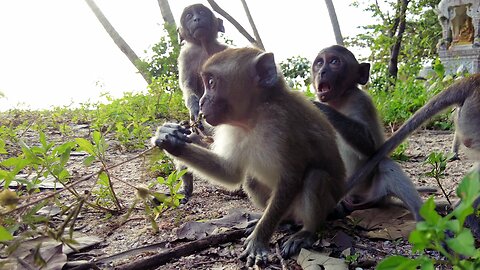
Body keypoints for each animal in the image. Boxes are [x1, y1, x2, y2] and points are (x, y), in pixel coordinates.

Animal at [151, 47, 344, 266]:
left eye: (211, 83)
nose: (200, 102)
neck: (254, 117)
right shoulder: (234, 130)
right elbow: (230, 173)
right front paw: (171, 139)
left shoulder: (284, 125)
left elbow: (291, 179)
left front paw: (259, 240)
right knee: (251, 179)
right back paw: (283, 221)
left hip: (327, 203)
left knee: (315, 177)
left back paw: (306, 232)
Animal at [176, 3, 229, 199]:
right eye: (189, 16)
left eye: (201, 12)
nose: (197, 19)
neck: (204, 46)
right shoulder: (186, 55)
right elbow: (188, 87)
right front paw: (195, 110)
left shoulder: (223, 50)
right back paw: (186, 188)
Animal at [310, 45, 422, 220]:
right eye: (319, 63)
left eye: (334, 62)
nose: (322, 71)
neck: (338, 101)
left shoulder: (361, 101)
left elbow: (370, 147)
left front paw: (321, 109)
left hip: (374, 193)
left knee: (385, 164)